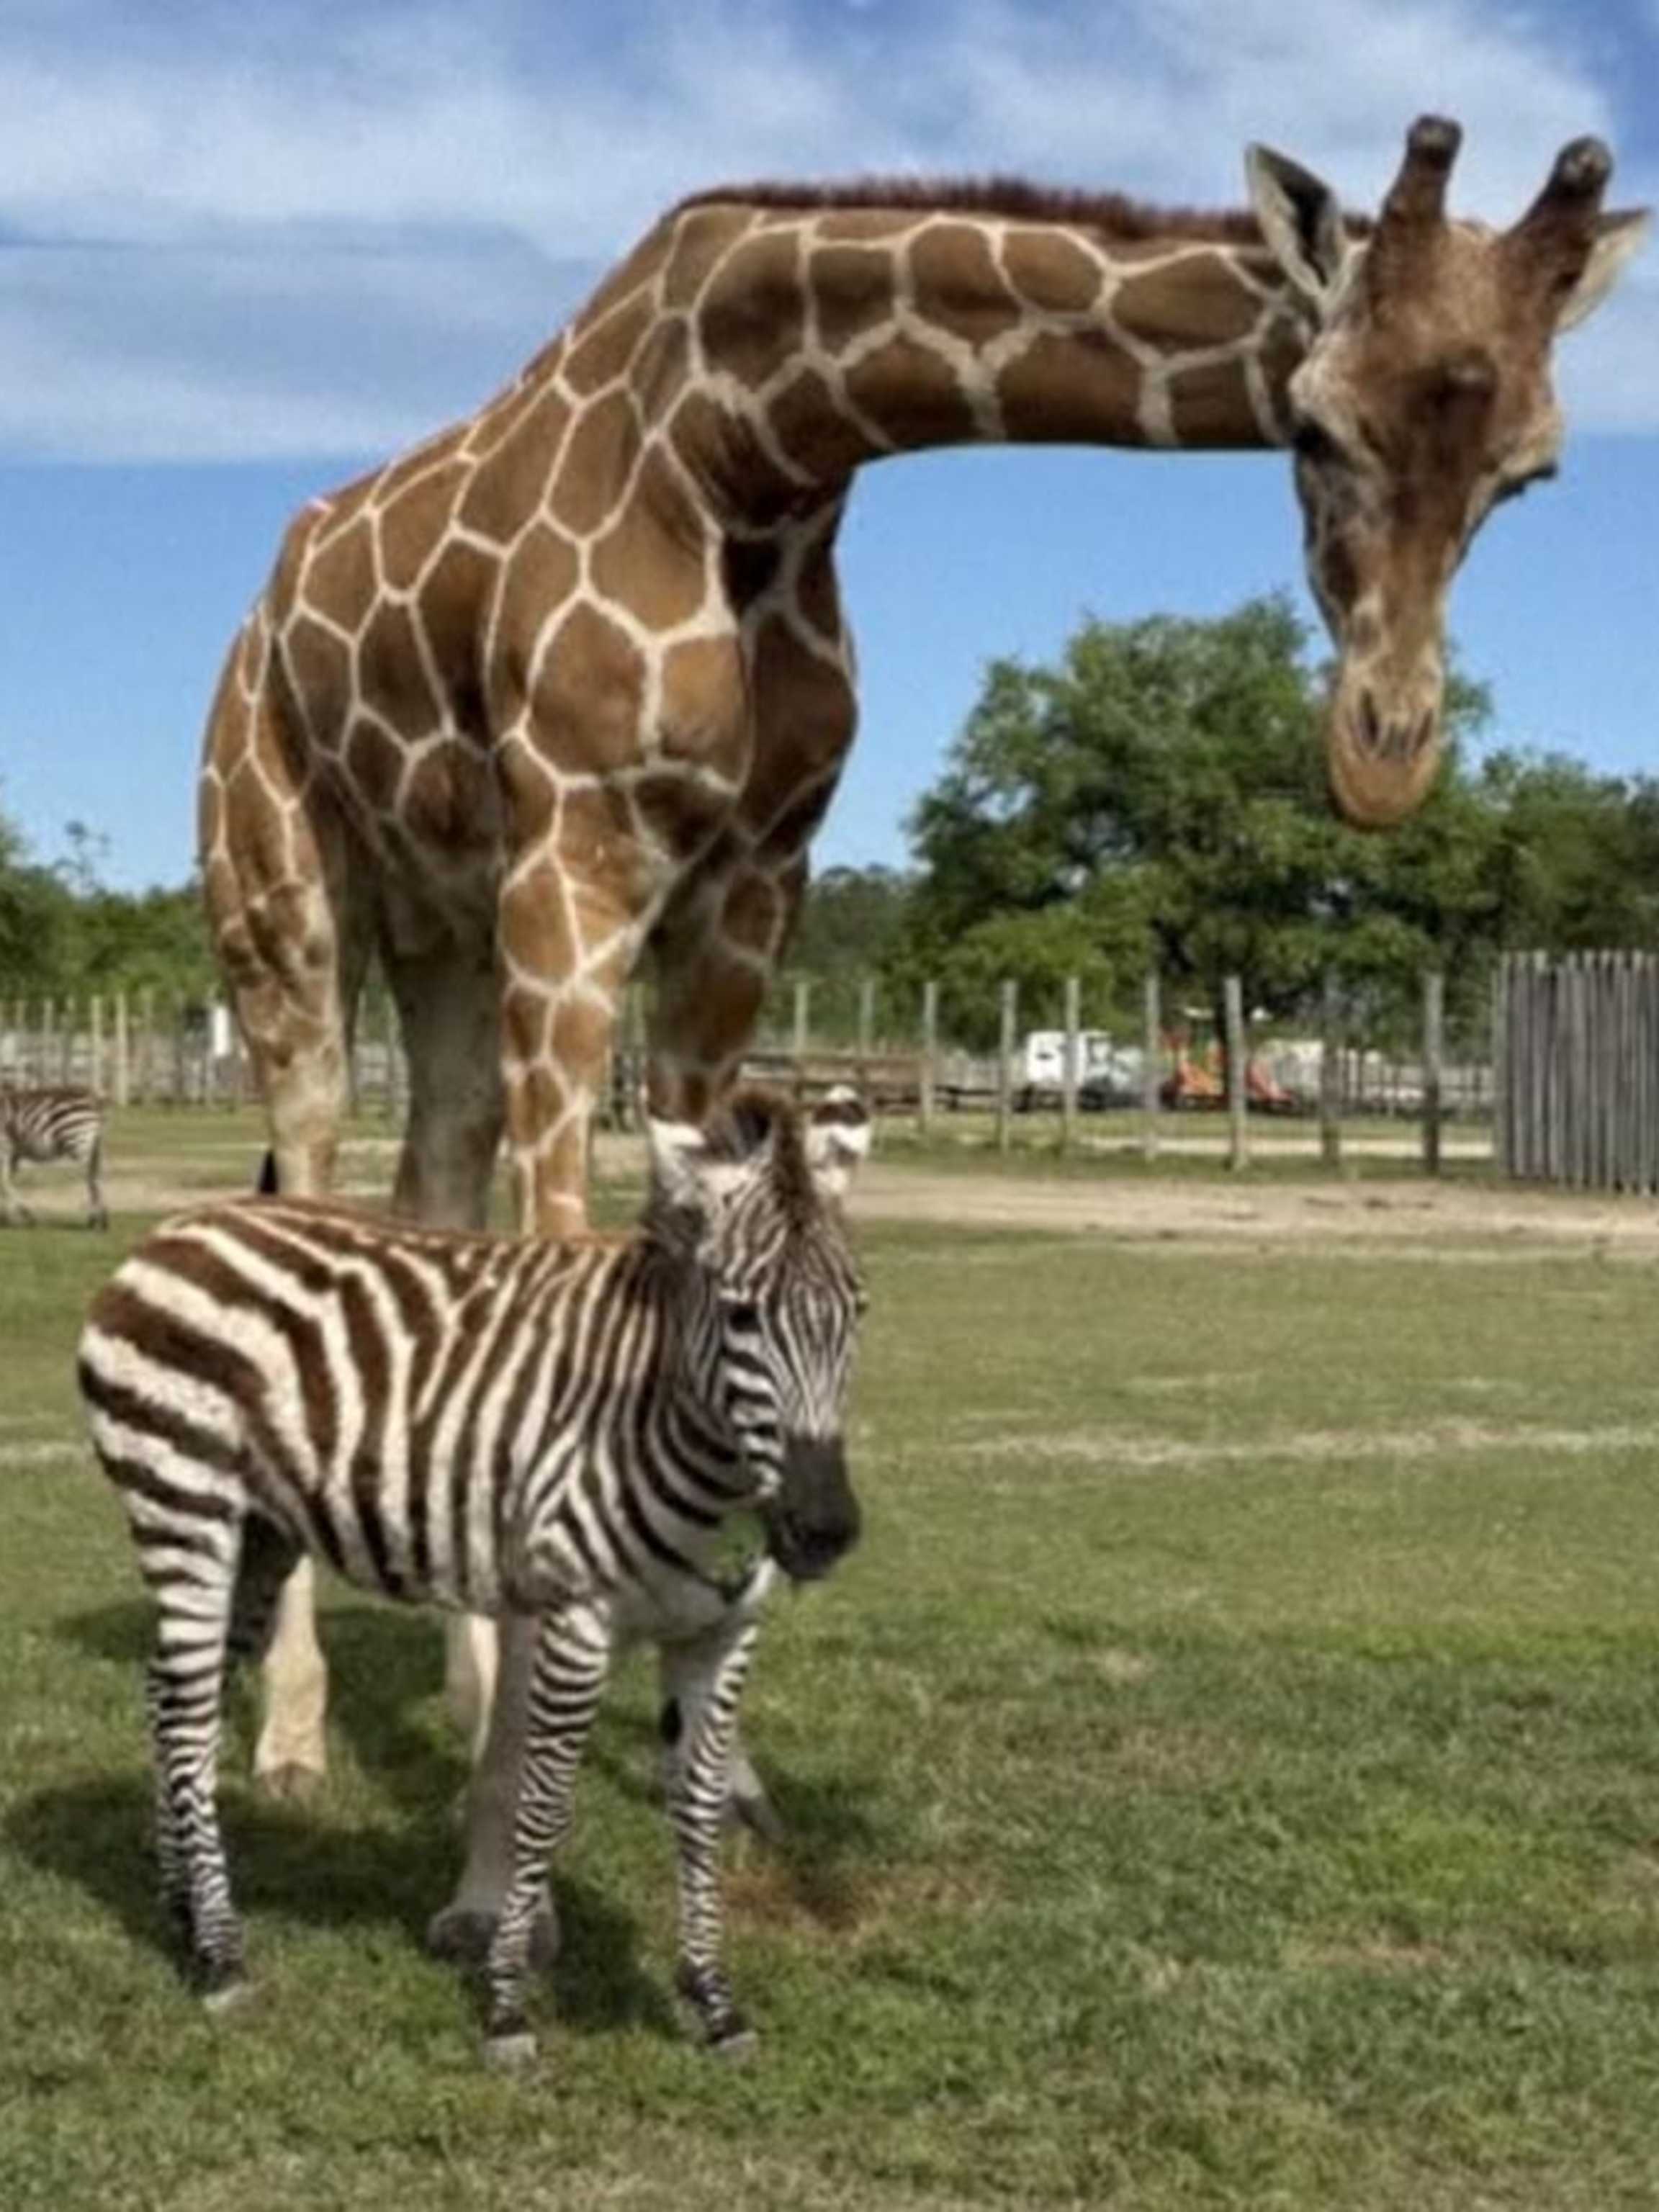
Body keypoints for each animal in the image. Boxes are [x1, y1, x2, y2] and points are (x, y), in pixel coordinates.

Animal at [1, 1083, 108, 1229]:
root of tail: (93, 1098)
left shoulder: (5, 1147)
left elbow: (5, 1182)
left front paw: (26, 1215)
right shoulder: (14, 1152)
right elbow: (8, 1179)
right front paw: (8, 1217)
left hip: (78, 1141)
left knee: (91, 1179)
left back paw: (97, 1220)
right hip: (91, 1145)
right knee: (95, 1177)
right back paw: (99, 1220)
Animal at [77, 1086, 871, 2064]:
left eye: (857, 1312)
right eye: (741, 1316)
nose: (822, 1530)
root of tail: (177, 1230)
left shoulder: (718, 1635)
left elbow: (697, 1808)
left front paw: (714, 2000)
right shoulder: (574, 1621)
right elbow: (545, 1804)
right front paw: (505, 2005)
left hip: (259, 1536)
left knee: (168, 1694)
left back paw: (179, 1913)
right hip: (182, 1505)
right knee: (188, 1719)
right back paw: (222, 1957)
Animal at [199, 117, 1644, 1953]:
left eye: (1534, 467)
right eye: (1315, 419)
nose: (1382, 756)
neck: (754, 448)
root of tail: (262, 604)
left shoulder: (753, 882)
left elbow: (691, 1238)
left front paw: (708, 1760)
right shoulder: (575, 859)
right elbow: (573, 1249)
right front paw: (485, 1858)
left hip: (437, 925)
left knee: (427, 1183)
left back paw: (447, 1691)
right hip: (286, 895)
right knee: (315, 1176)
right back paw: (298, 1732)